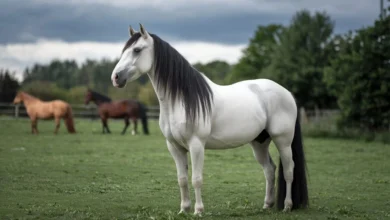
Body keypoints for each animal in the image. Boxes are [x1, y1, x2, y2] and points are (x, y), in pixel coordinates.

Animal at [109, 23, 308, 215]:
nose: (116, 77)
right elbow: (182, 179)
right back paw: (267, 205)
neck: (180, 101)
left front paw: (198, 210)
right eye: (124, 50)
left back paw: (287, 206)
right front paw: (184, 209)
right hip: (259, 142)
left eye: (137, 50)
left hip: (283, 140)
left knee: (289, 170)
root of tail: (287, 93)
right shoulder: (174, 147)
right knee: (269, 169)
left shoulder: (196, 145)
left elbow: (196, 179)